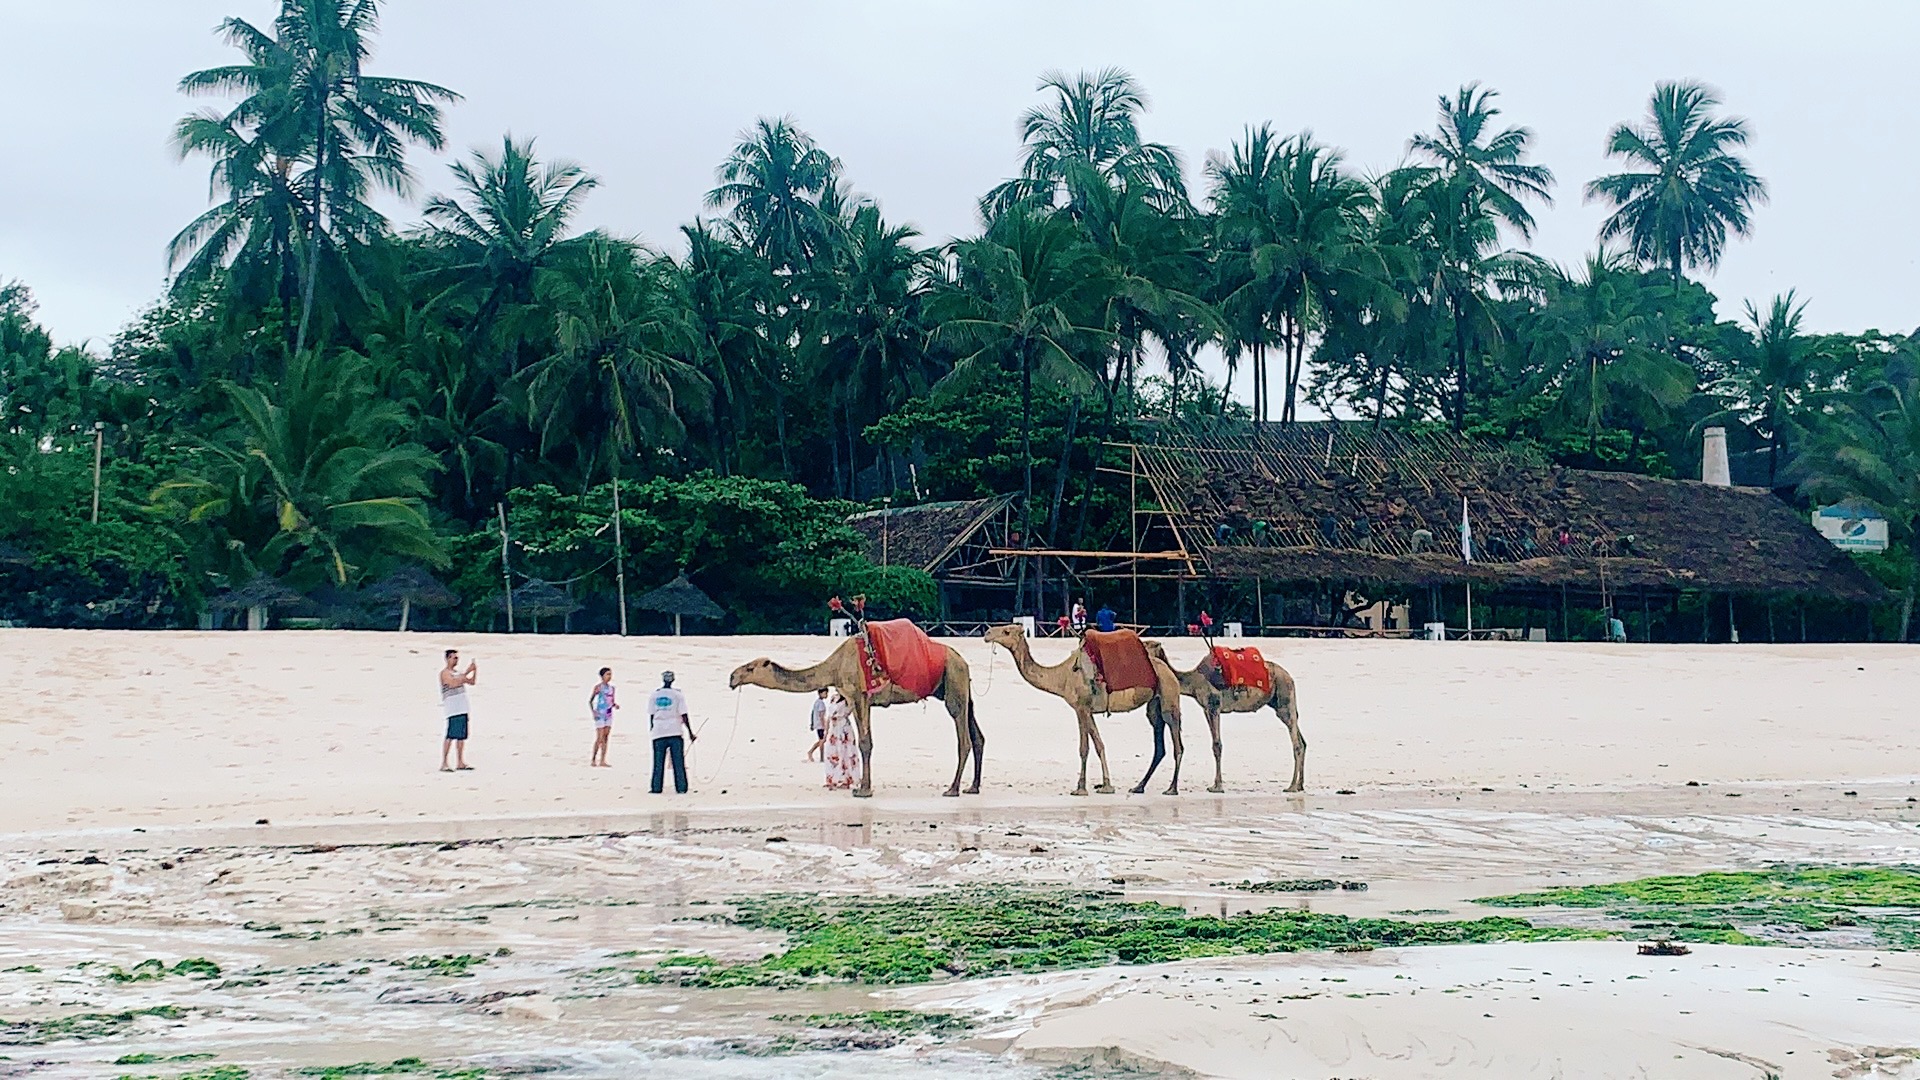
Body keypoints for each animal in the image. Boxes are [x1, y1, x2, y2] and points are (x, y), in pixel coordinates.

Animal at [725, 630, 983, 799]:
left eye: (750, 668)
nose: (732, 677)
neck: (834, 667)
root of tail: (963, 661)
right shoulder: (853, 699)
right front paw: (861, 785)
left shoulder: (860, 697)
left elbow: (865, 743)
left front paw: (864, 790)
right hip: (958, 686)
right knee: (977, 735)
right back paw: (973, 787)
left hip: (954, 681)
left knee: (963, 736)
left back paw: (952, 789)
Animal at [990, 622, 1182, 791]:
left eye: (1007, 631)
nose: (988, 633)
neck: (1062, 676)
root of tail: (1169, 671)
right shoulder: (1082, 710)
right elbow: (1096, 745)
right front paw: (1097, 785)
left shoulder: (1082, 707)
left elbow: (1086, 747)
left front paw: (1088, 787)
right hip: (1154, 703)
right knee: (1159, 737)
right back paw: (1138, 787)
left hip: (1169, 694)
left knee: (1175, 738)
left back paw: (1172, 788)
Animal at [1136, 638, 1305, 791]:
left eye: (1146, 645)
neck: (1194, 680)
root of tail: (1290, 677)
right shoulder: (1206, 709)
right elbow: (1214, 744)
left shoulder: (1214, 706)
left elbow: (1217, 745)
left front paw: (1217, 786)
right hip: (1280, 703)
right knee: (1302, 741)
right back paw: (1300, 785)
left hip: (1285, 699)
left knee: (1296, 743)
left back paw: (1291, 786)